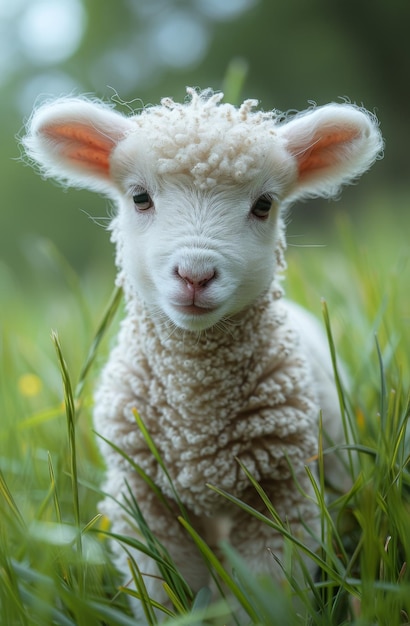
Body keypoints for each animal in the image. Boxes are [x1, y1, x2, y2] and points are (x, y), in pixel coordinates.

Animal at [23, 89, 384, 620]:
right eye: (140, 197)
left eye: (263, 204)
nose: (195, 274)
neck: (197, 418)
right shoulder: (143, 499)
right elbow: (165, 590)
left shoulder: (281, 492)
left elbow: (266, 587)